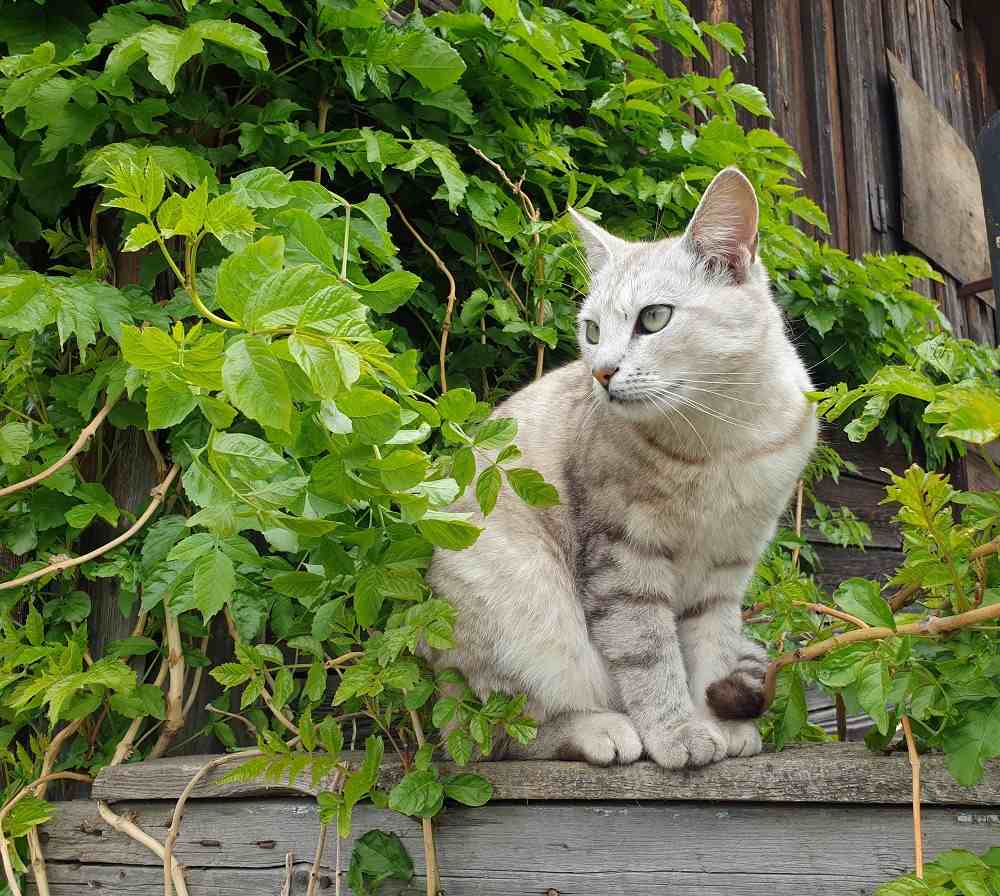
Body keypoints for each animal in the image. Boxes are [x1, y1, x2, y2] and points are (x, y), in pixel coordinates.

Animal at [426, 168, 816, 768]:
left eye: (654, 318)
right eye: (591, 331)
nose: (602, 371)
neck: (722, 438)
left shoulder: (726, 568)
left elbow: (711, 651)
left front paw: (716, 725)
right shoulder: (624, 558)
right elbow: (650, 658)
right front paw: (678, 733)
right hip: (527, 611)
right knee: (493, 733)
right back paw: (602, 730)